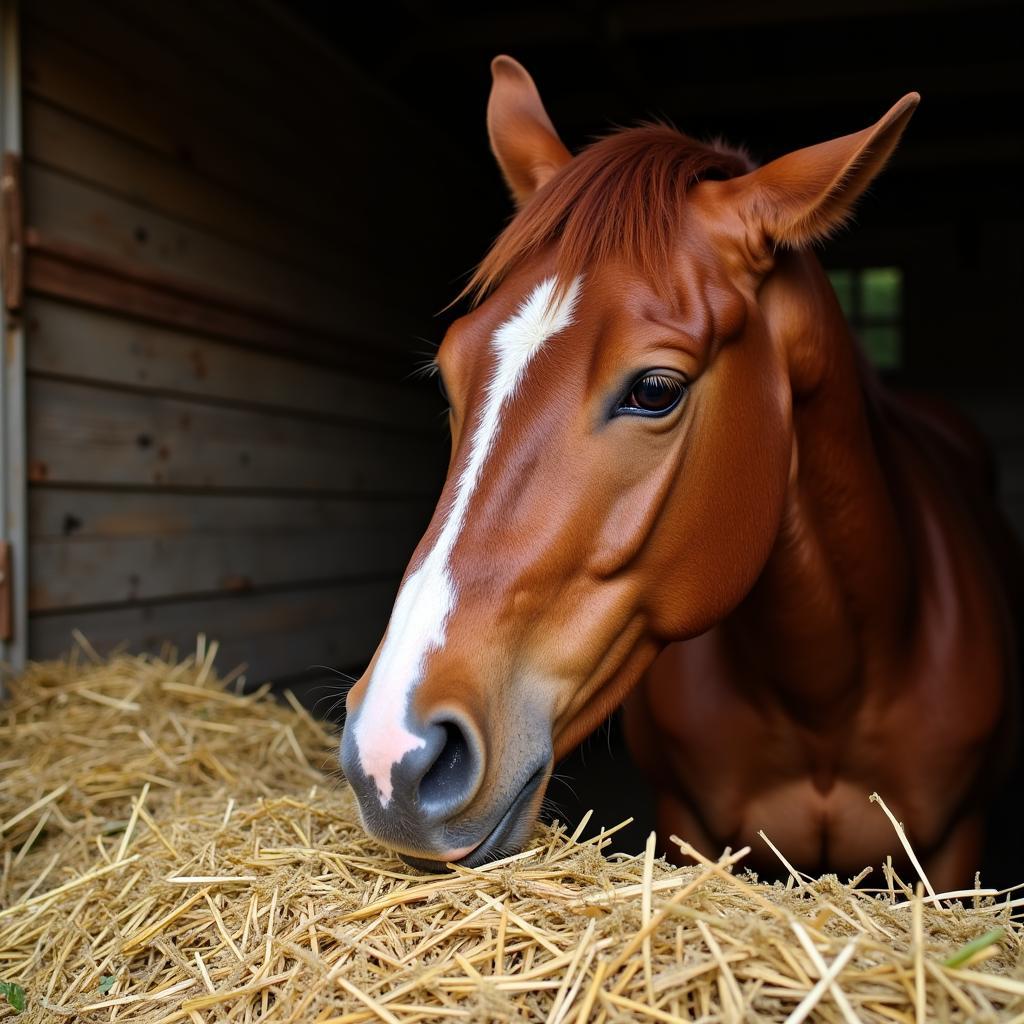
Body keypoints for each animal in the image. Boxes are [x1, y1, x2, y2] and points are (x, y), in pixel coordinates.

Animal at [339, 56, 1019, 888]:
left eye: (656, 389)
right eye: (448, 374)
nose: (391, 756)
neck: (828, 691)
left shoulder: (950, 856)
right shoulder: (688, 828)